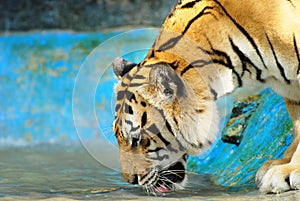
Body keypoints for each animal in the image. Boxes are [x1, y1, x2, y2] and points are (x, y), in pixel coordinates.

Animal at [111, 0, 300, 195]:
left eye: (137, 139)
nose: (130, 180)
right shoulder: (289, 88)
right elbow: (297, 126)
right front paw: (279, 164)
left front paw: (290, 171)